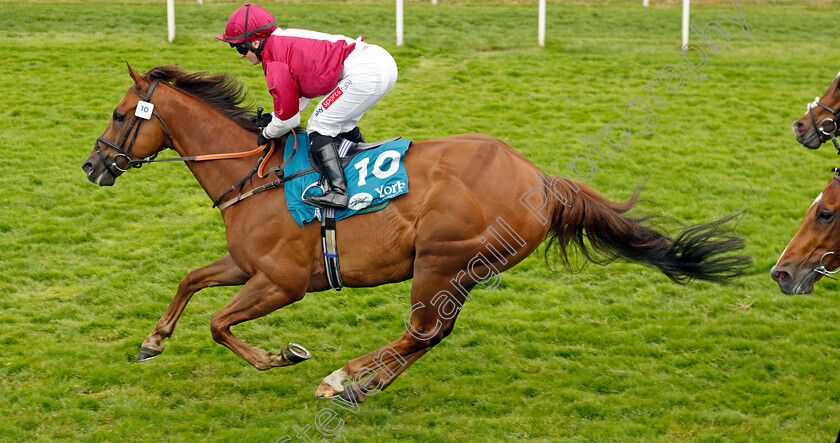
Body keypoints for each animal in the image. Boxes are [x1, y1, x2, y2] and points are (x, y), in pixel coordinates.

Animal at [82, 65, 744, 402]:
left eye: (118, 115)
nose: (92, 166)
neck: (255, 176)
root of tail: (541, 179)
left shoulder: (281, 282)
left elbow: (220, 325)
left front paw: (282, 355)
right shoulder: (248, 267)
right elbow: (191, 280)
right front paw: (153, 341)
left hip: (440, 261)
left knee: (422, 331)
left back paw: (342, 378)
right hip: (460, 270)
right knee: (431, 335)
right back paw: (361, 384)